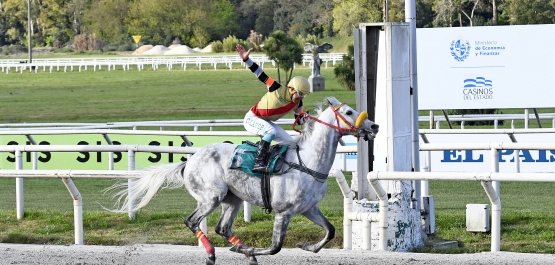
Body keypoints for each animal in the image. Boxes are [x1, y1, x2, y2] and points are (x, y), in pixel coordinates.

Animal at [106, 97, 380, 264]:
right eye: (349, 112)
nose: (374, 126)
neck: (308, 161)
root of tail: (189, 161)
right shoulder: (283, 212)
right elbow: (275, 247)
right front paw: (250, 250)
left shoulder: (308, 208)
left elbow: (331, 231)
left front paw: (308, 247)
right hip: (211, 197)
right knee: (192, 221)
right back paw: (212, 254)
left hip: (233, 199)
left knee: (222, 228)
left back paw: (240, 249)